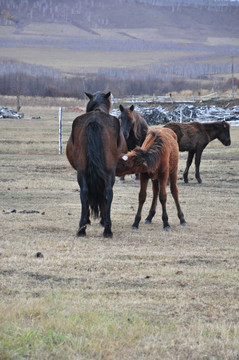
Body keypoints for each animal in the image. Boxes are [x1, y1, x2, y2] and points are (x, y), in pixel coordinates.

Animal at [66, 90, 127, 238]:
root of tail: (94, 120)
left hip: (83, 169)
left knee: (86, 191)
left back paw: (83, 229)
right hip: (108, 170)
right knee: (106, 191)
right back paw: (106, 228)